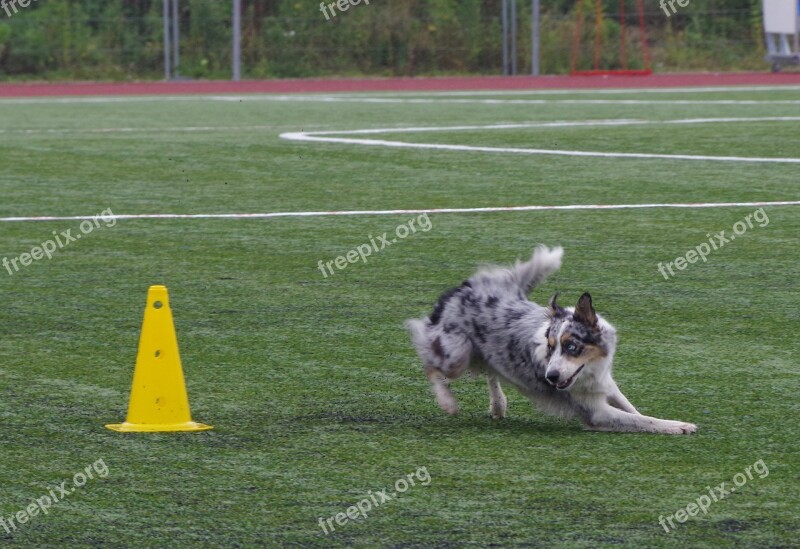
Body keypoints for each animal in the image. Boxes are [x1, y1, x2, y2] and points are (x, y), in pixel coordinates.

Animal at [410, 246, 696, 434]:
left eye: (572, 347)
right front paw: (679, 425)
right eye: (550, 348)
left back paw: (498, 405)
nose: (551, 377)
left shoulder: (606, 383)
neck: (589, 372)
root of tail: (465, 286)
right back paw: (448, 402)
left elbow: (634, 410)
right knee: (428, 362)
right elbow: (641, 420)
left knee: (491, 370)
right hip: (456, 354)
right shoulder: (595, 412)